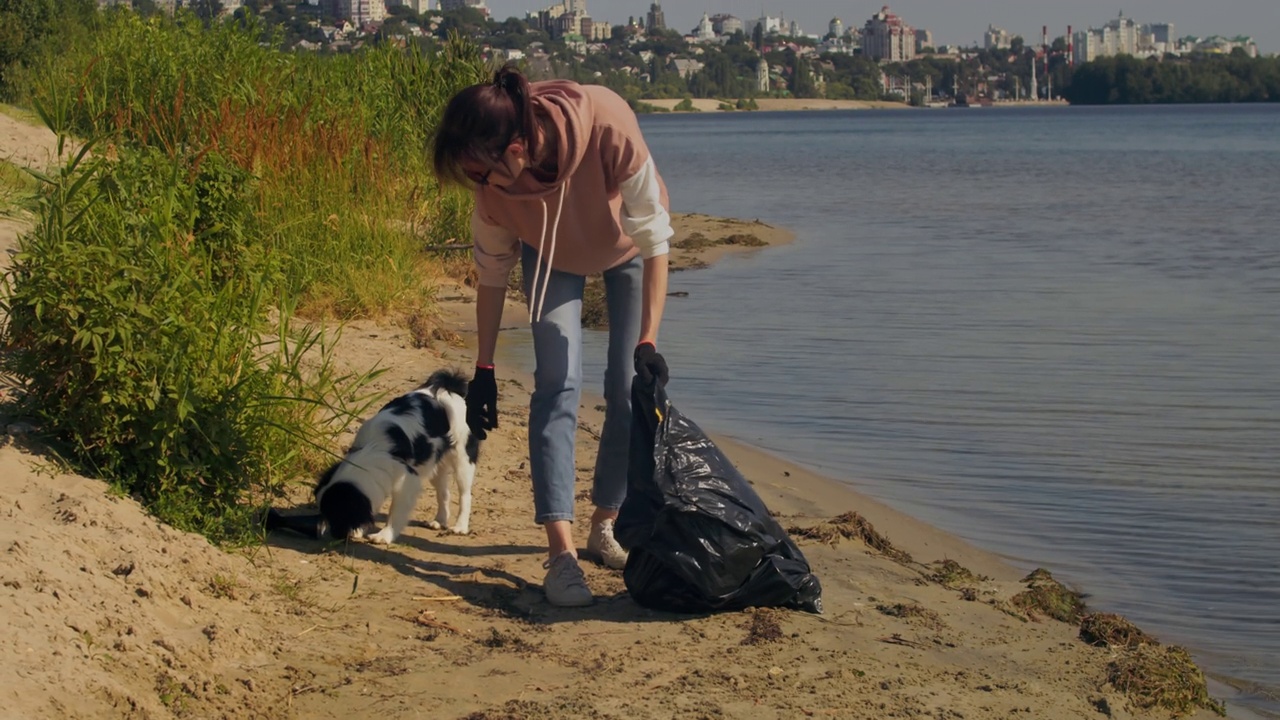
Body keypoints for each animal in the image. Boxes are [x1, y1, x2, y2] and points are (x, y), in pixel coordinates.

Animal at [316, 366, 483, 540]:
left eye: (336, 515)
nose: (321, 533)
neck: (373, 448)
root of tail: (449, 390)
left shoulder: (407, 482)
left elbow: (395, 512)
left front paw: (384, 536)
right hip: (435, 465)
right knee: (443, 492)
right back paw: (439, 520)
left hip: (463, 461)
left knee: (465, 495)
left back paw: (460, 527)